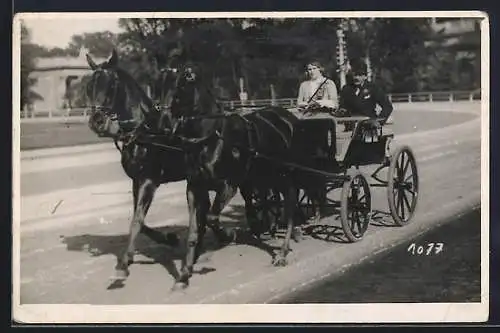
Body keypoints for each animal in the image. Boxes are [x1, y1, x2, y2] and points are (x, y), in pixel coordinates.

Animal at [85, 50, 235, 282]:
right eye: (89, 85)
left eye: (110, 85)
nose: (97, 121)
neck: (145, 132)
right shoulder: (137, 180)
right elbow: (140, 220)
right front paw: (168, 237)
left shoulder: (149, 180)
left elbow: (137, 220)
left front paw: (124, 264)